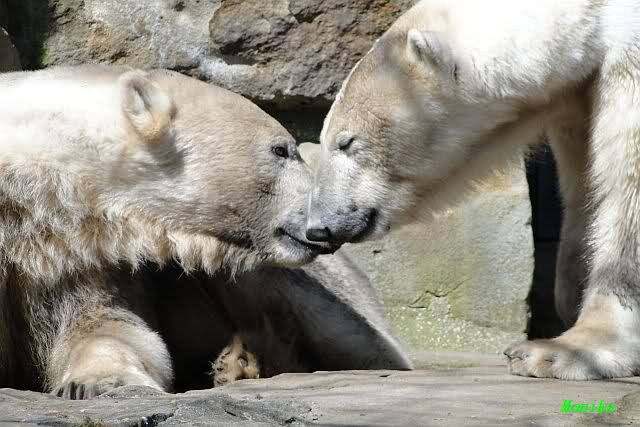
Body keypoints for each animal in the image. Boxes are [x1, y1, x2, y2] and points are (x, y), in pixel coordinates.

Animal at [305, 0, 640, 380]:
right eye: (325, 138)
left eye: (346, 142)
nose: (318, 227)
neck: (597, 11)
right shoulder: (578, 91)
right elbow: (581, 176)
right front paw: (570, 298)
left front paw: (561, 351)